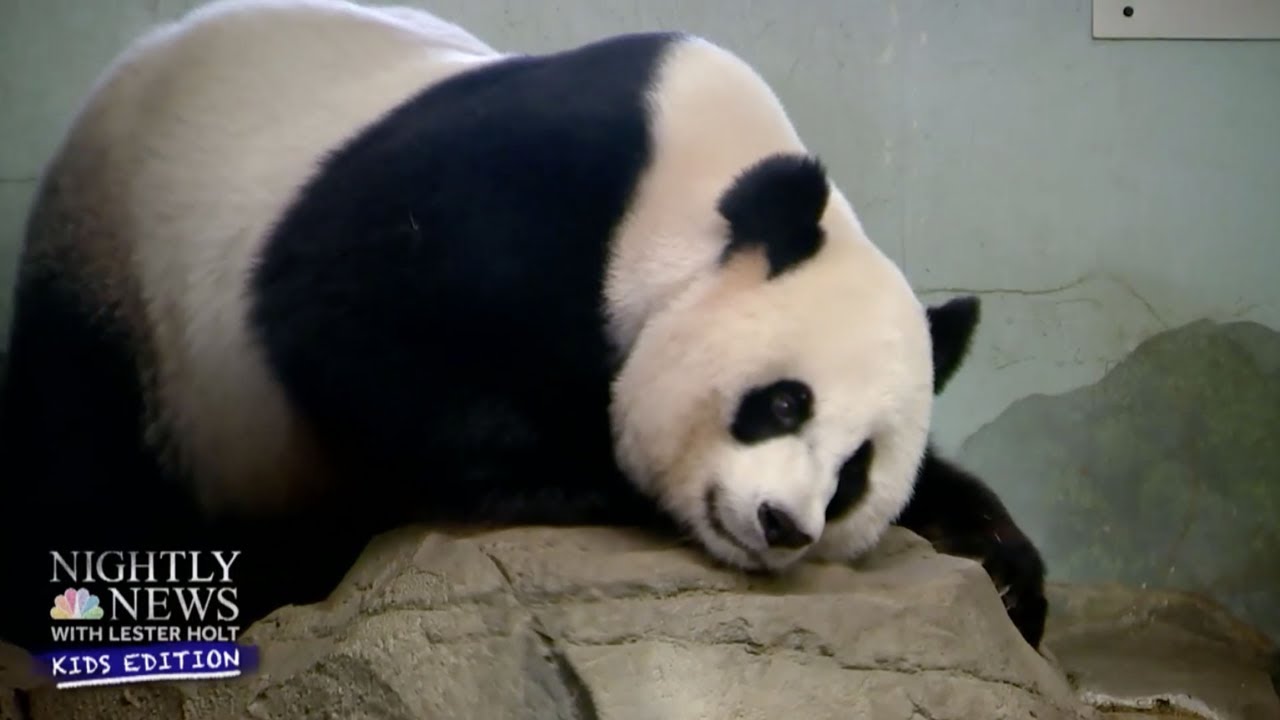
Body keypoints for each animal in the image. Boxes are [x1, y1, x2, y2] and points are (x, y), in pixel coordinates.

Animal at [0, 0, 1044, 655]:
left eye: (857, 467)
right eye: (784, 403)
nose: (785, 525)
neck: (696, 189)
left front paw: (1004, 574)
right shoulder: (518, 189)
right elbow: (351, 319)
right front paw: (596, 474)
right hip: (130, 291)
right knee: (89, 458)